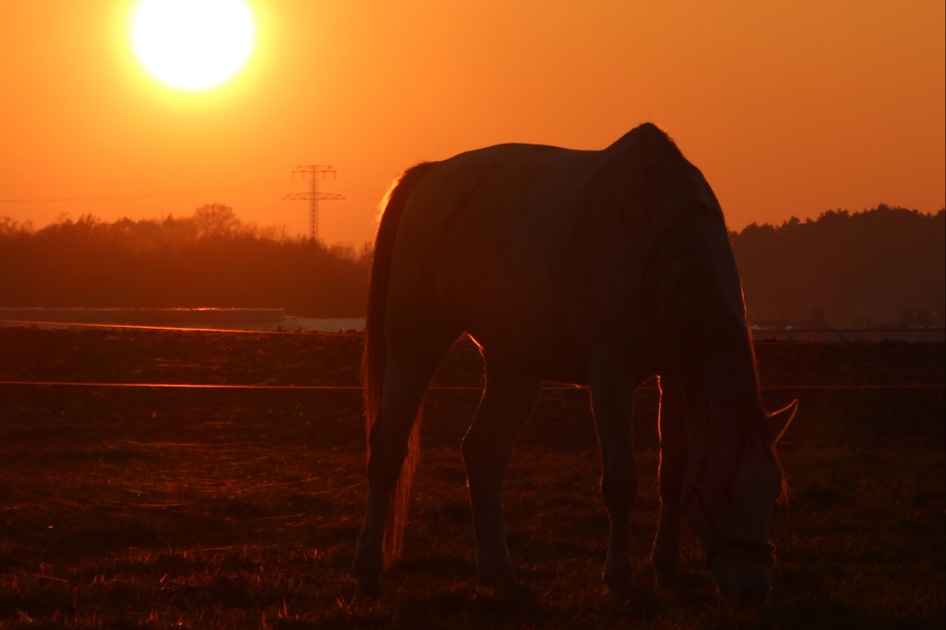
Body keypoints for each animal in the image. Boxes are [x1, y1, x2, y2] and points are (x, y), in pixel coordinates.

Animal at [350, 123, 792, 604]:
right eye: (725, 490)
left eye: (773, 493)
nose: (752, 590)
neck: (657, 234)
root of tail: (432, 175)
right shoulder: (611, 376)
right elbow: (620, 482)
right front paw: (619, 576)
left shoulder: (675, 376)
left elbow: (673, 475)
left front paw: (666, 569)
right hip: (416, 343)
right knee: (388, 448)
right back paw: (369, 571)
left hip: (514, 366)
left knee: (483, 453)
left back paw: (498, 572)